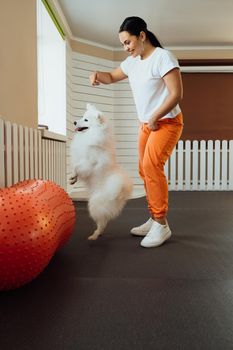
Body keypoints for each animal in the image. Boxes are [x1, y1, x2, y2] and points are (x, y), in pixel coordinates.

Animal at [69, 104, 133, 241]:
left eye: (86, 120)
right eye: (82, 116)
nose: (75, 122)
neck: (91, 135)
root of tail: (120, 192)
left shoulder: (88, 162)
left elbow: (77, 167)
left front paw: (72, 177)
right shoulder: (80, 158)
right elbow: (74, 168)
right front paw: (73, 179)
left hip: (94, 204)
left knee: (102, 221)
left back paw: (95, 235)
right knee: (104, 220)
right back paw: (98, 233)